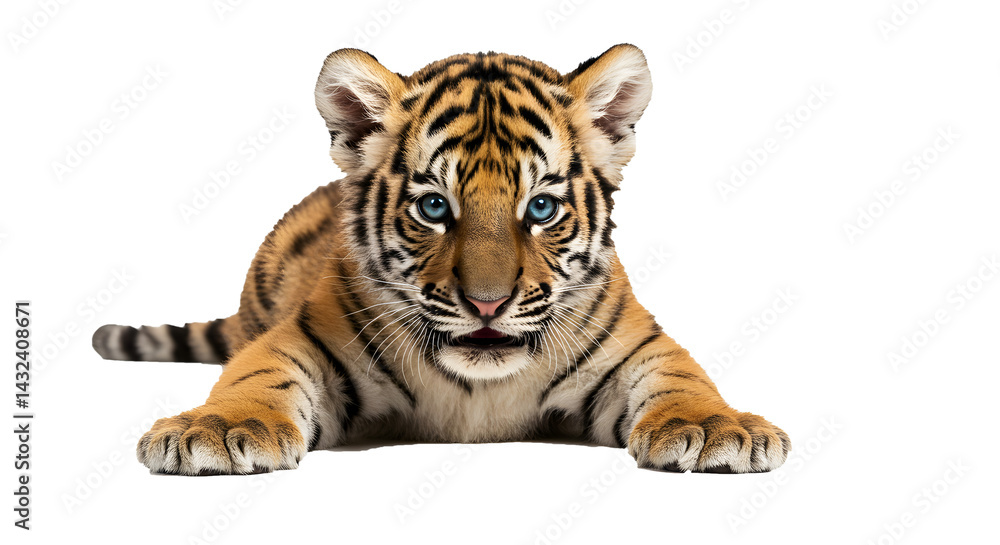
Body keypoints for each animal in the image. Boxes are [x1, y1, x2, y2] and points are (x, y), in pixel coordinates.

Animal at [93, 44, 790, 475]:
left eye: (541, 208)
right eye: (433, 206)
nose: (487, 304)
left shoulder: (638, 344)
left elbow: (684, 380)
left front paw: (720, 429)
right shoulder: (304, 338)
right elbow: (255, 378)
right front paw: (210, 431)